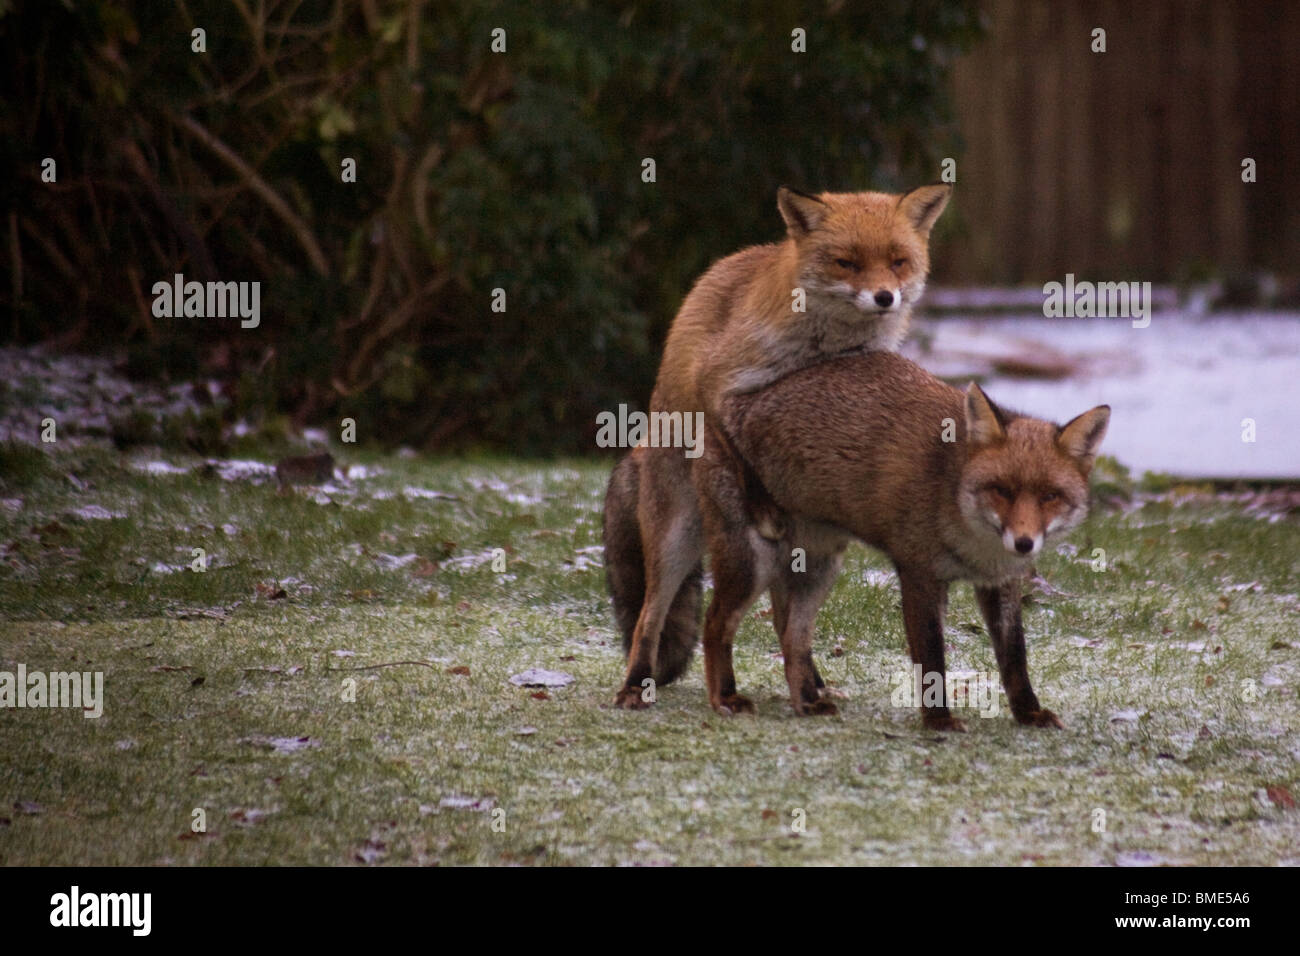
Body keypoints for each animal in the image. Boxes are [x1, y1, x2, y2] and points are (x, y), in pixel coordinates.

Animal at [604, 184, 952, 709]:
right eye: (846, 263)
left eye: (898, 262)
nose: (884, 297)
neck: (820, 346)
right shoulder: (716, 386)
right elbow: (736, 450)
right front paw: (761, 503)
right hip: (676, 539)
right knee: (651, 614)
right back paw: (636, 684)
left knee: (785, 620)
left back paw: (810, 685)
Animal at [691, 350, 1109, 730]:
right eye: (1001, 490)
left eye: (1050, 496)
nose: (1024, 543)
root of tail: (728, 405)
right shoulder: (918, 572)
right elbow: (932, 655)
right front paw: (938, 721)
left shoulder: (1000, 582)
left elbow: (1015, 656)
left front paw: (1028, 713)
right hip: (753, 563)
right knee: (715, 624)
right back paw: (725, 697)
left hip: (819, 569)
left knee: (791, 637)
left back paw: (806, 701)